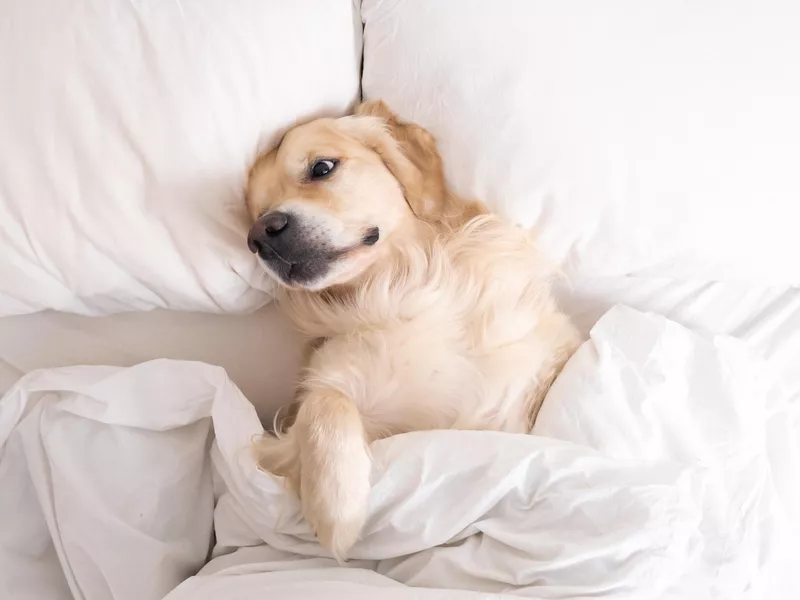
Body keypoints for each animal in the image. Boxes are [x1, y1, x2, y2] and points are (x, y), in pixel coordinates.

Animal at [245, 101, 580, 560]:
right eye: (255, 214)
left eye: (322, 167)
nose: (260, 235)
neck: (401, 286)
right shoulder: (318, 396)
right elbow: (325, 402)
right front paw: (337, 507)